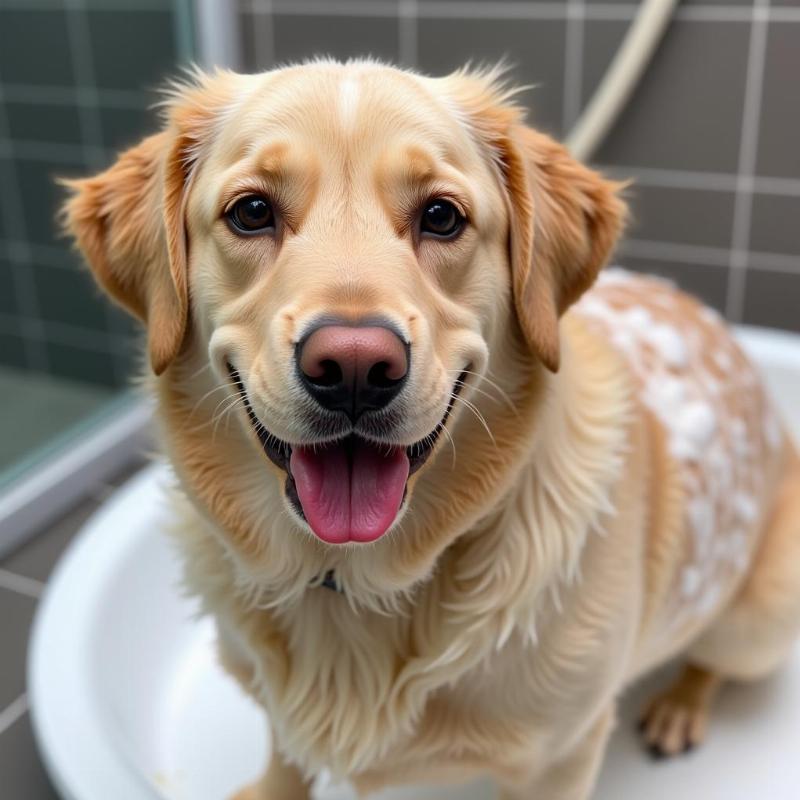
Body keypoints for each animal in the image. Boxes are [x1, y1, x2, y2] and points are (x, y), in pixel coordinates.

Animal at [64, 59, 800, 796]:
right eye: (251, 212)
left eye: (441, 216)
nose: (354, 368)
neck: (347, 580)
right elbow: (285, 757)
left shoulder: (563, 754)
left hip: (755, 619)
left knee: (712, 661)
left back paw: (679, 706)